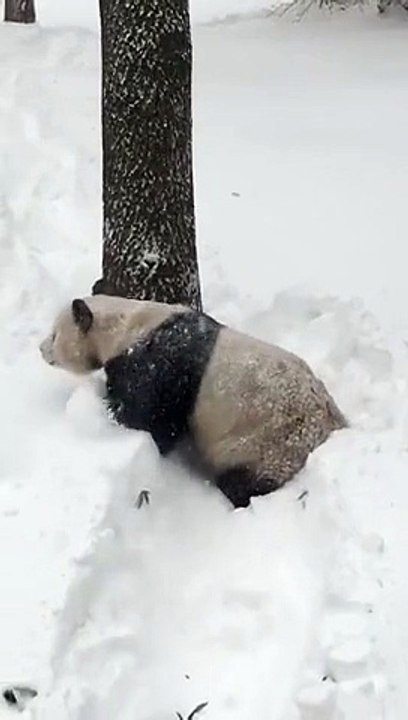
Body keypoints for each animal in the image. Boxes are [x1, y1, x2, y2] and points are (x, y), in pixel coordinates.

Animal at [39, 295, 346, 508]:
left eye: (54, 334)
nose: (41, 349)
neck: (126, 325)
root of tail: (333, 428)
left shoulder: (160, 363)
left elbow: (148, 417)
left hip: (268, 444)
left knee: (245, 481)